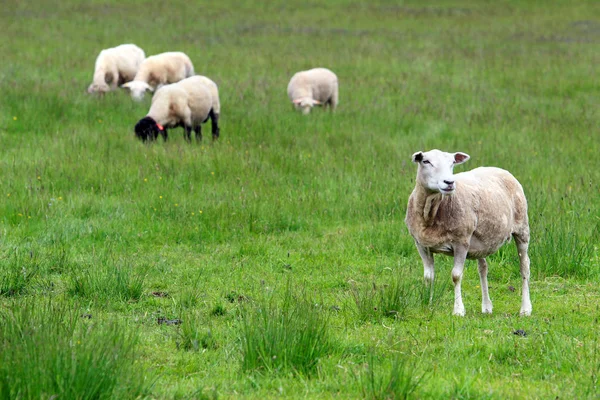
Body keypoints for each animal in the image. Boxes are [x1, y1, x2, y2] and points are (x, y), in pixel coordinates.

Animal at [406, 148, 532, 318]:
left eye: (452, 163)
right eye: (426, 161)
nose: (449, 182)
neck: (430, 212)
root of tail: (499, 169)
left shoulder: (461, 242)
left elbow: (456, 275)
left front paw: (458, 310)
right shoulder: (421, 245)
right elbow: (428, 276)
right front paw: (428, 303)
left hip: (522, 228)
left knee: (524, 266)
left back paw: (525, 308)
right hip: (482, 240)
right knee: (483, 268)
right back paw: (486, 306)